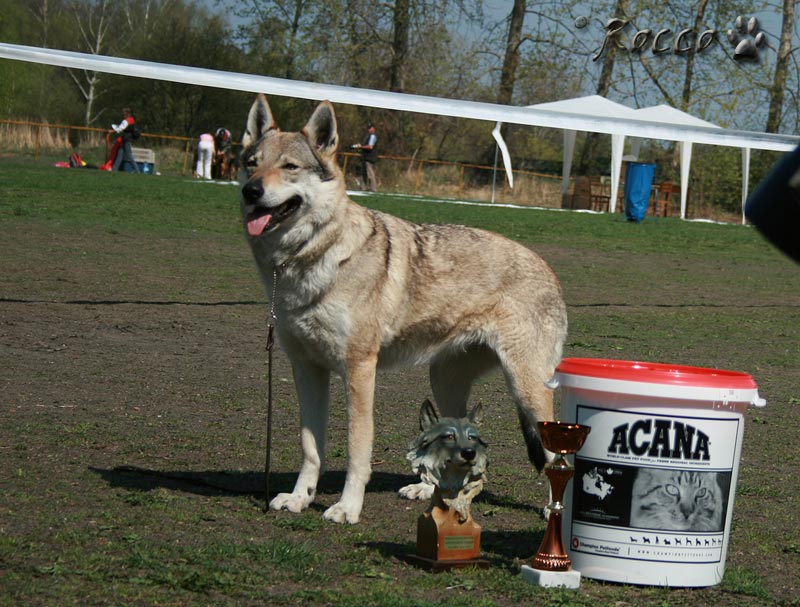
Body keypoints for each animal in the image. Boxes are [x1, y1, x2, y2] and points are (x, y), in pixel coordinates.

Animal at [238, 94, 568, 524]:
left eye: (289, 167)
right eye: (251, 162)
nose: (251, 191)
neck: (302, 260)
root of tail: (548, 268)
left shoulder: (359, 370)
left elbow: (358, 450)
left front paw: (347, 508)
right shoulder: (306, 369)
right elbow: (311, 448)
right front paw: (299, 498)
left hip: (528, 391)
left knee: (559, 457)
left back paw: (554, 511)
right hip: (445, 380)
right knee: (456, 440)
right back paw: (425, 489)